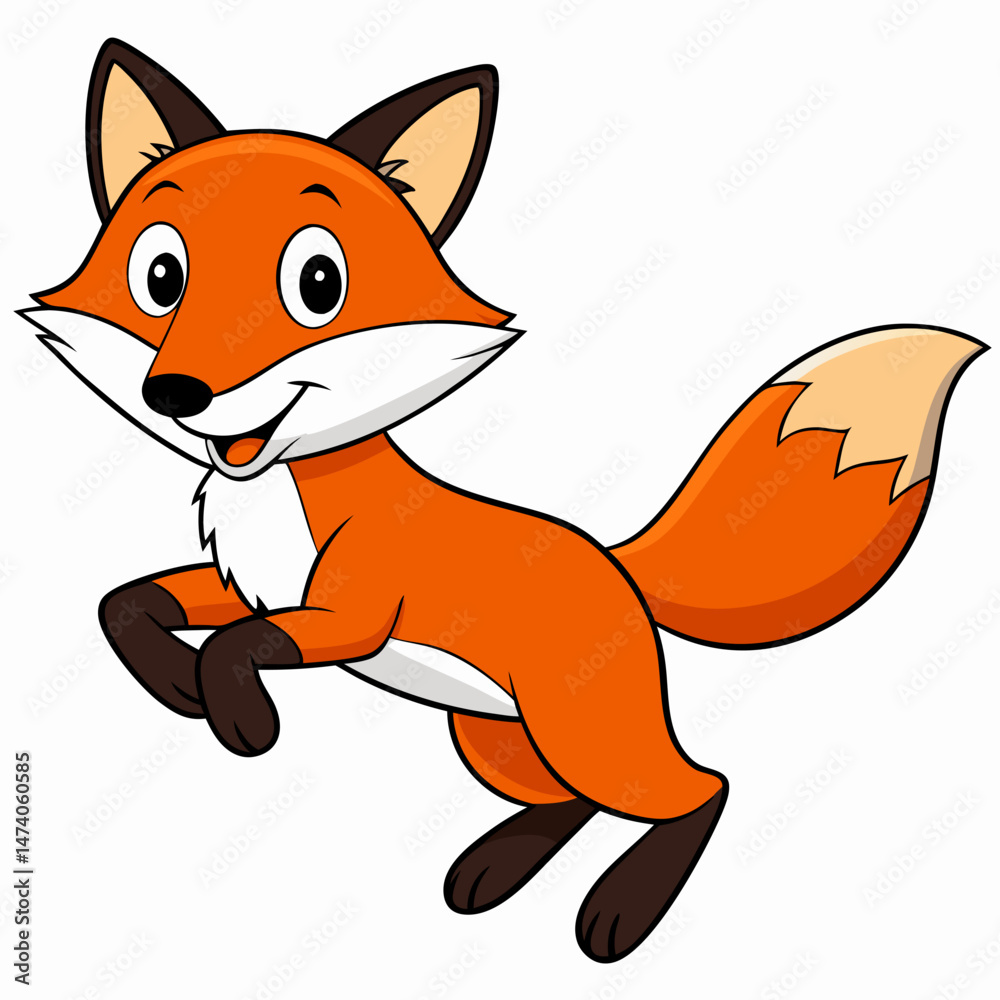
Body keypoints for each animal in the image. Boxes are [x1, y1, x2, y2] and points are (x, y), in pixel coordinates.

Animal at [21, 38, 987, 963]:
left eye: (318, 284)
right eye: (161, 276)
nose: (177, 392)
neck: (281, 494)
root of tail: (615, 561)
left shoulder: (349, 612)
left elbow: (236, 646)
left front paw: (241, 719)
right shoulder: (247, 587)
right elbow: (126, 603)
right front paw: (178, 688)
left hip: (585, 732)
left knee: (699, 788)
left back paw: (622, 912)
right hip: (494, 738)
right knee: (569, 803)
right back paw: (493, 868)